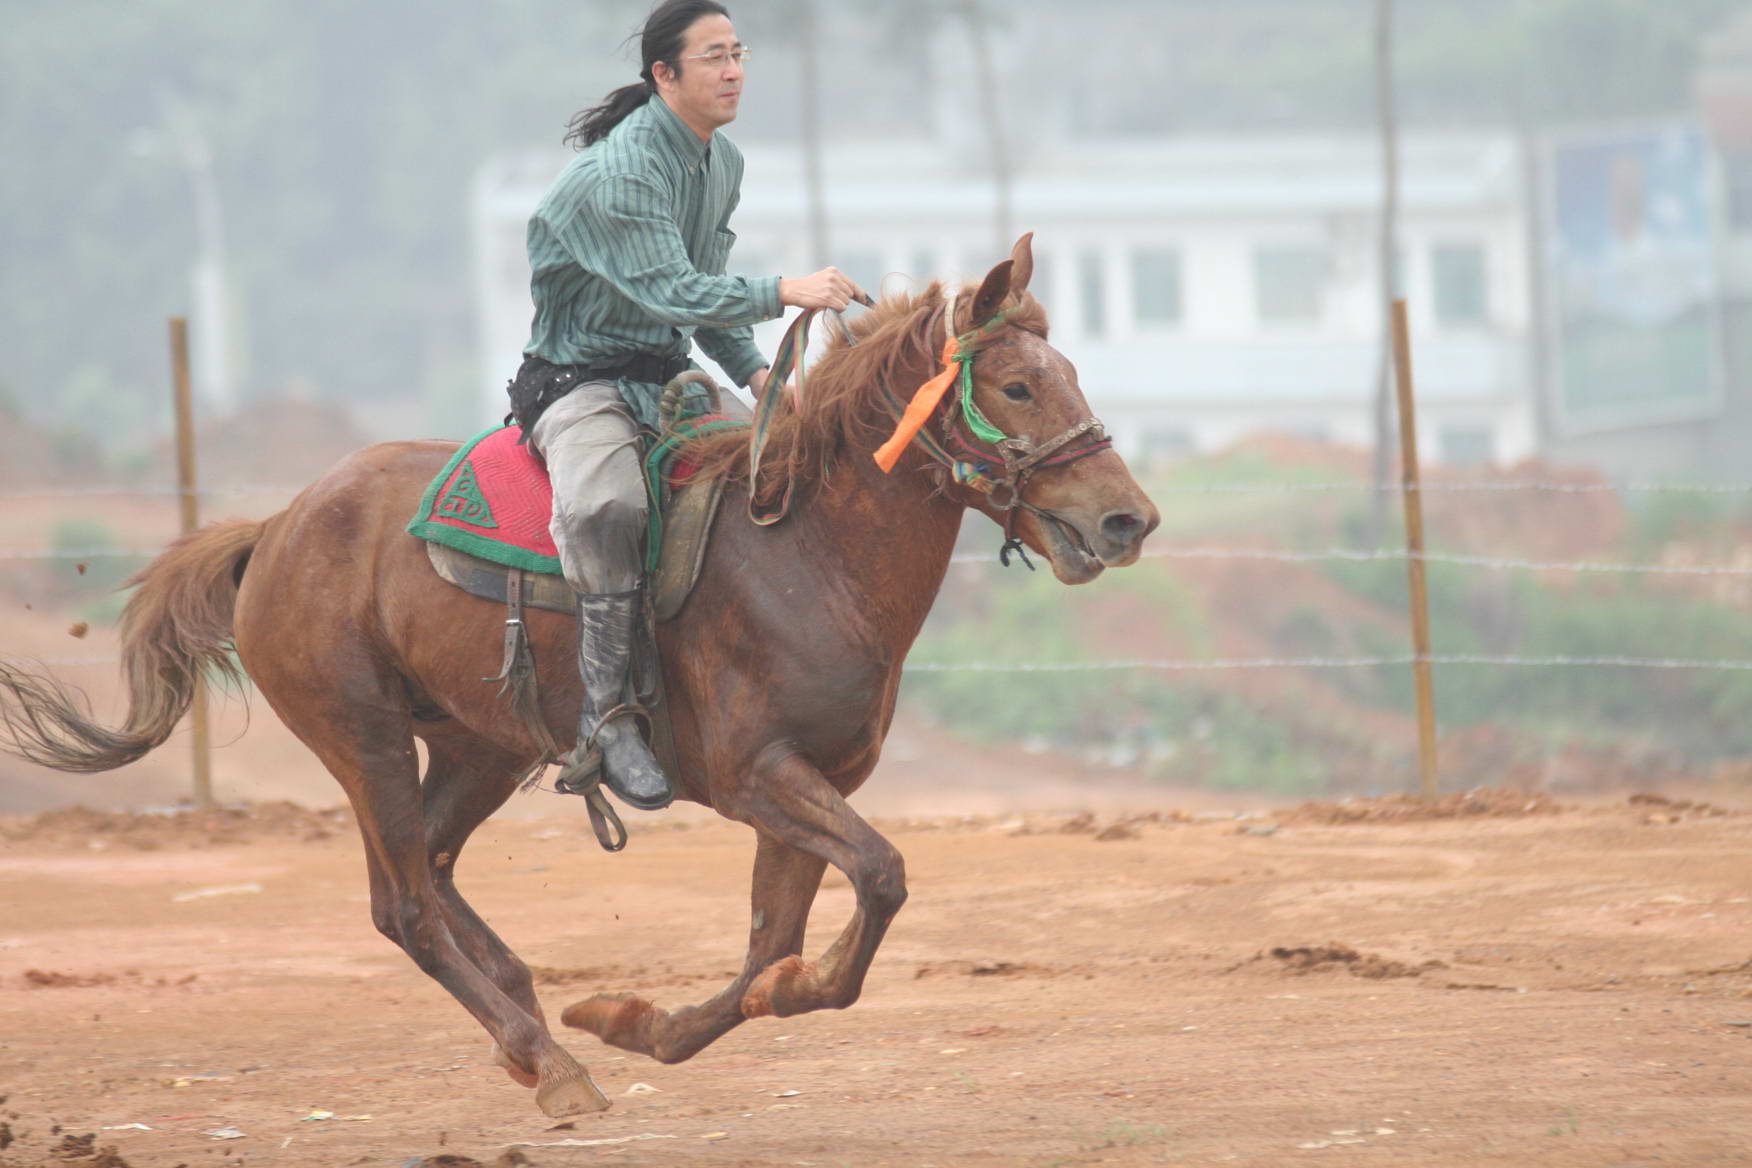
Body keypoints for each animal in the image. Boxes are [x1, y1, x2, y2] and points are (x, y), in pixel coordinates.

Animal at [0, 234, 1156, 1113]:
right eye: (1016, 384)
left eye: (1069, 376)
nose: (1127, 519)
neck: (806, 552)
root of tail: (274, 529)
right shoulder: (761, 776)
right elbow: (878, 878)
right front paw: (692, 1010)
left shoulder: (811, 784)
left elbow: (769, 948)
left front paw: (641, 1018)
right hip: (362, 736)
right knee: (405, 903)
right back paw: (545, 1060)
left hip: (474, 746)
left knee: (429, 871)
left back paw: (529, 1020)